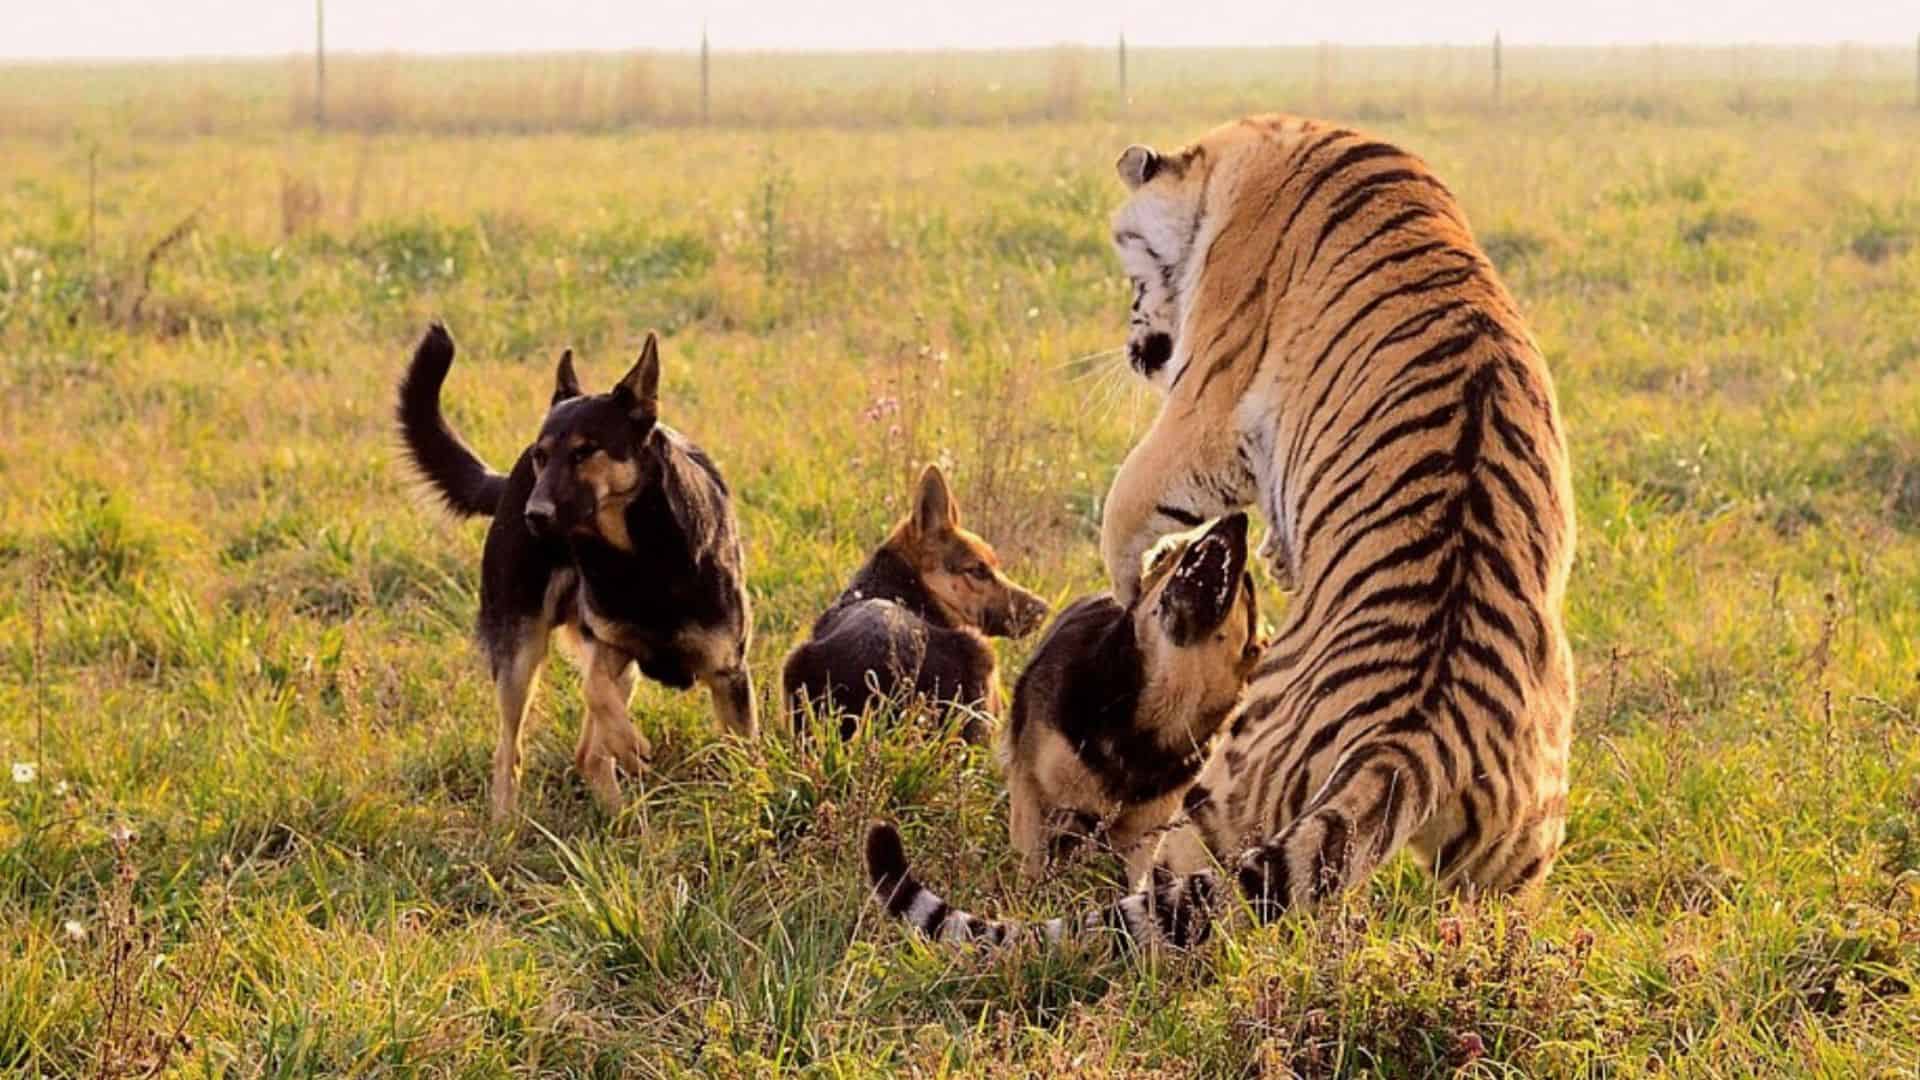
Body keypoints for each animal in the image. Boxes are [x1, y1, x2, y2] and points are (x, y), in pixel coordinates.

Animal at [395, 322, 748, 818]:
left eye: (586, 452)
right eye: (542, 456)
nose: (534, 515)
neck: (641, 556)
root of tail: (509, 486)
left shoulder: (727, 673)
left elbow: (744, 755)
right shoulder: (610, 644)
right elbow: (594, 692)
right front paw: (629, 742)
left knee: (587, 754)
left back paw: (621, 819)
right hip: (519, 649)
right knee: (512, 750)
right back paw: (507, 824)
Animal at [1006, 511, 1259, 876]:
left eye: (1248, 587)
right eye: (1169, 553)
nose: (1237, 519)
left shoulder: (1143, 836)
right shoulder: (1030, 791)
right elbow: (1030, 866)